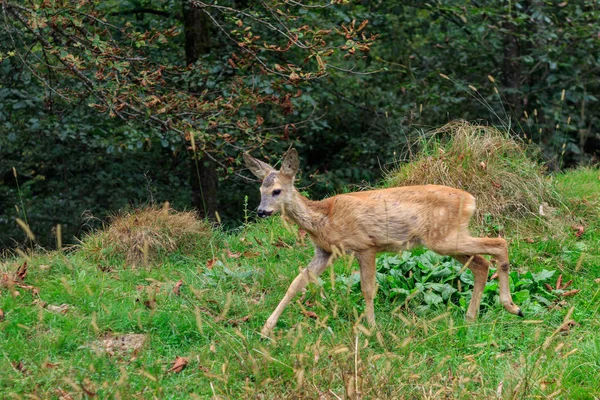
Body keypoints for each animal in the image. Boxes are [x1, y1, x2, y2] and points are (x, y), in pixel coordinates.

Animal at [241, 148, 524, 336]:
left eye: (277, 191)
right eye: (260, 190)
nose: (261, 211)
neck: (324, 217)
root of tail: (471, 200)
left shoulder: (365, 245)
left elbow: (368, 289)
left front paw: (372, 328)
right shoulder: (324, 251)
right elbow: (296, 283)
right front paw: (266, 328)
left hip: (444, 238)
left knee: (499, 243)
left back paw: (512, 307)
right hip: (447, 239)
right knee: (481, 264)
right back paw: (470, 317)